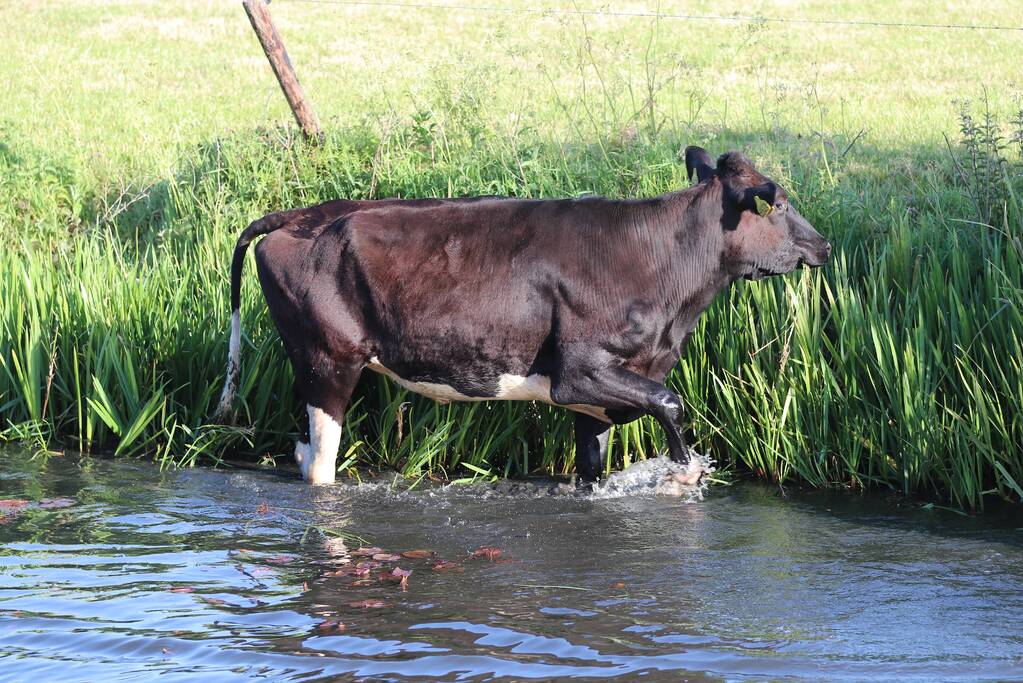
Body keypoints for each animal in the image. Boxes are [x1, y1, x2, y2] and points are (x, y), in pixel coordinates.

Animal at [214, 147, 831, 486]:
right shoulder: (578, 372)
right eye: (777, 204)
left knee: (302, 455)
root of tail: (301, 213)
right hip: (329, 361)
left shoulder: (594, 402)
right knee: (320, 466)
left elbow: (592, 469)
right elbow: (669, 402)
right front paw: (684, 472)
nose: (823, 245)